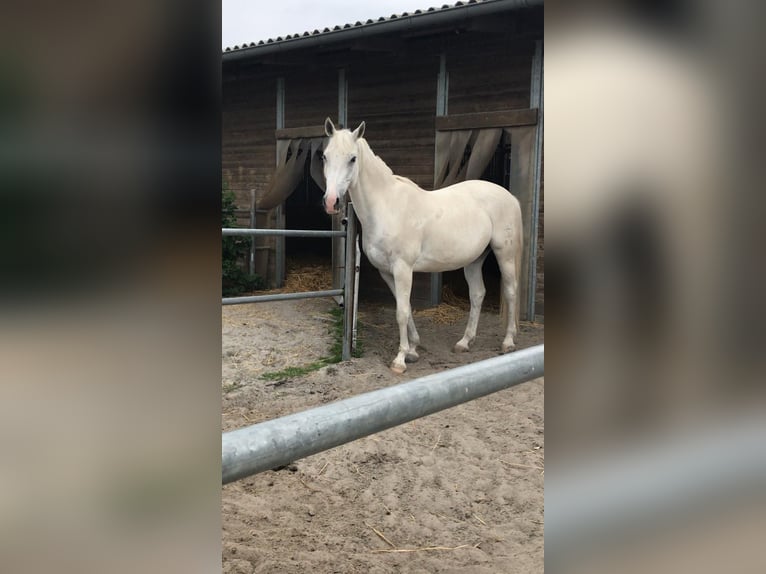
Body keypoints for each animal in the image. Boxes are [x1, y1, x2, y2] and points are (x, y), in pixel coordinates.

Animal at [320, 119, 524, 376]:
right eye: (325, 156)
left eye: (353, 158)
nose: (331, 202)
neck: (387, 206)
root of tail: (509, 197)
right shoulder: (387, 272)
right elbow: (405, 308)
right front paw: (413, 350)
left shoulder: (403, 269)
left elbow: (402, 312)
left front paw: (400, 360)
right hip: (474, 259)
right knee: (477, 295)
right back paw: (464, 342)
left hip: (504, 254)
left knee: (511, 291)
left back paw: (508, 342)